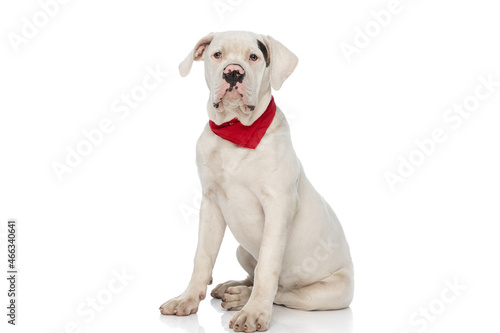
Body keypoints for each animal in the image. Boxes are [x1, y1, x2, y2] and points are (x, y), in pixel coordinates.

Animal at [159, 29, 352, 330]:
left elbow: (268, 267)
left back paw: (241, 298)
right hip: (242, 249)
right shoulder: (210, 203)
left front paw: (254, 312)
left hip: (326, 293)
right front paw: (187, 298)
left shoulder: (278, 206)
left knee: (284, 292)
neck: (236, 131)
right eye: (217, 54)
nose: (233, 73)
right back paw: (230, 286)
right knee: (251, 275)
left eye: (253, 57)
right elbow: (202, 256)